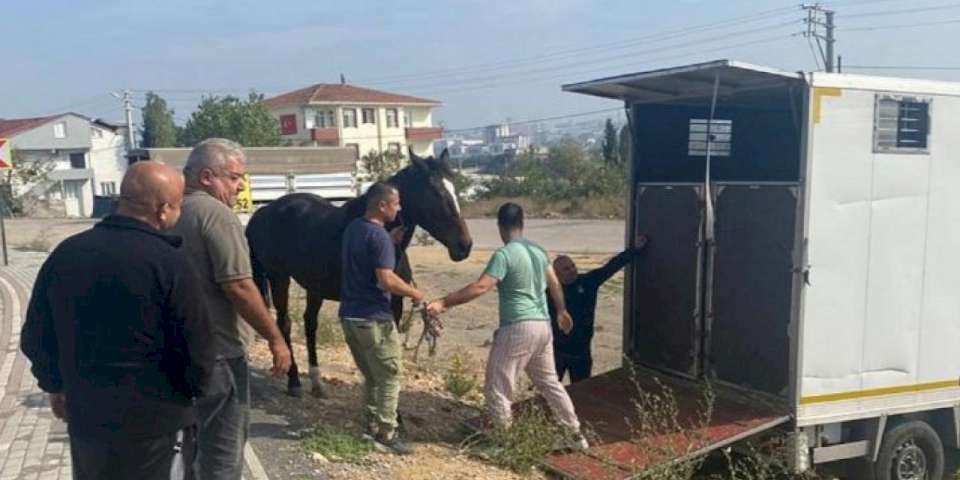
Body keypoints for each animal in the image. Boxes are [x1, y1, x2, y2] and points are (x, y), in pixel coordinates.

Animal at [246, 150, 474, 398]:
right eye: (435, 192)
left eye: (454, 188)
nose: (464, 245)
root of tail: (263, 212)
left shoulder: (394, 304)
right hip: (279, 278)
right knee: (284, 323)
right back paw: (294, 381)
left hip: (314, 286)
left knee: (309, 323)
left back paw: (316, 382)